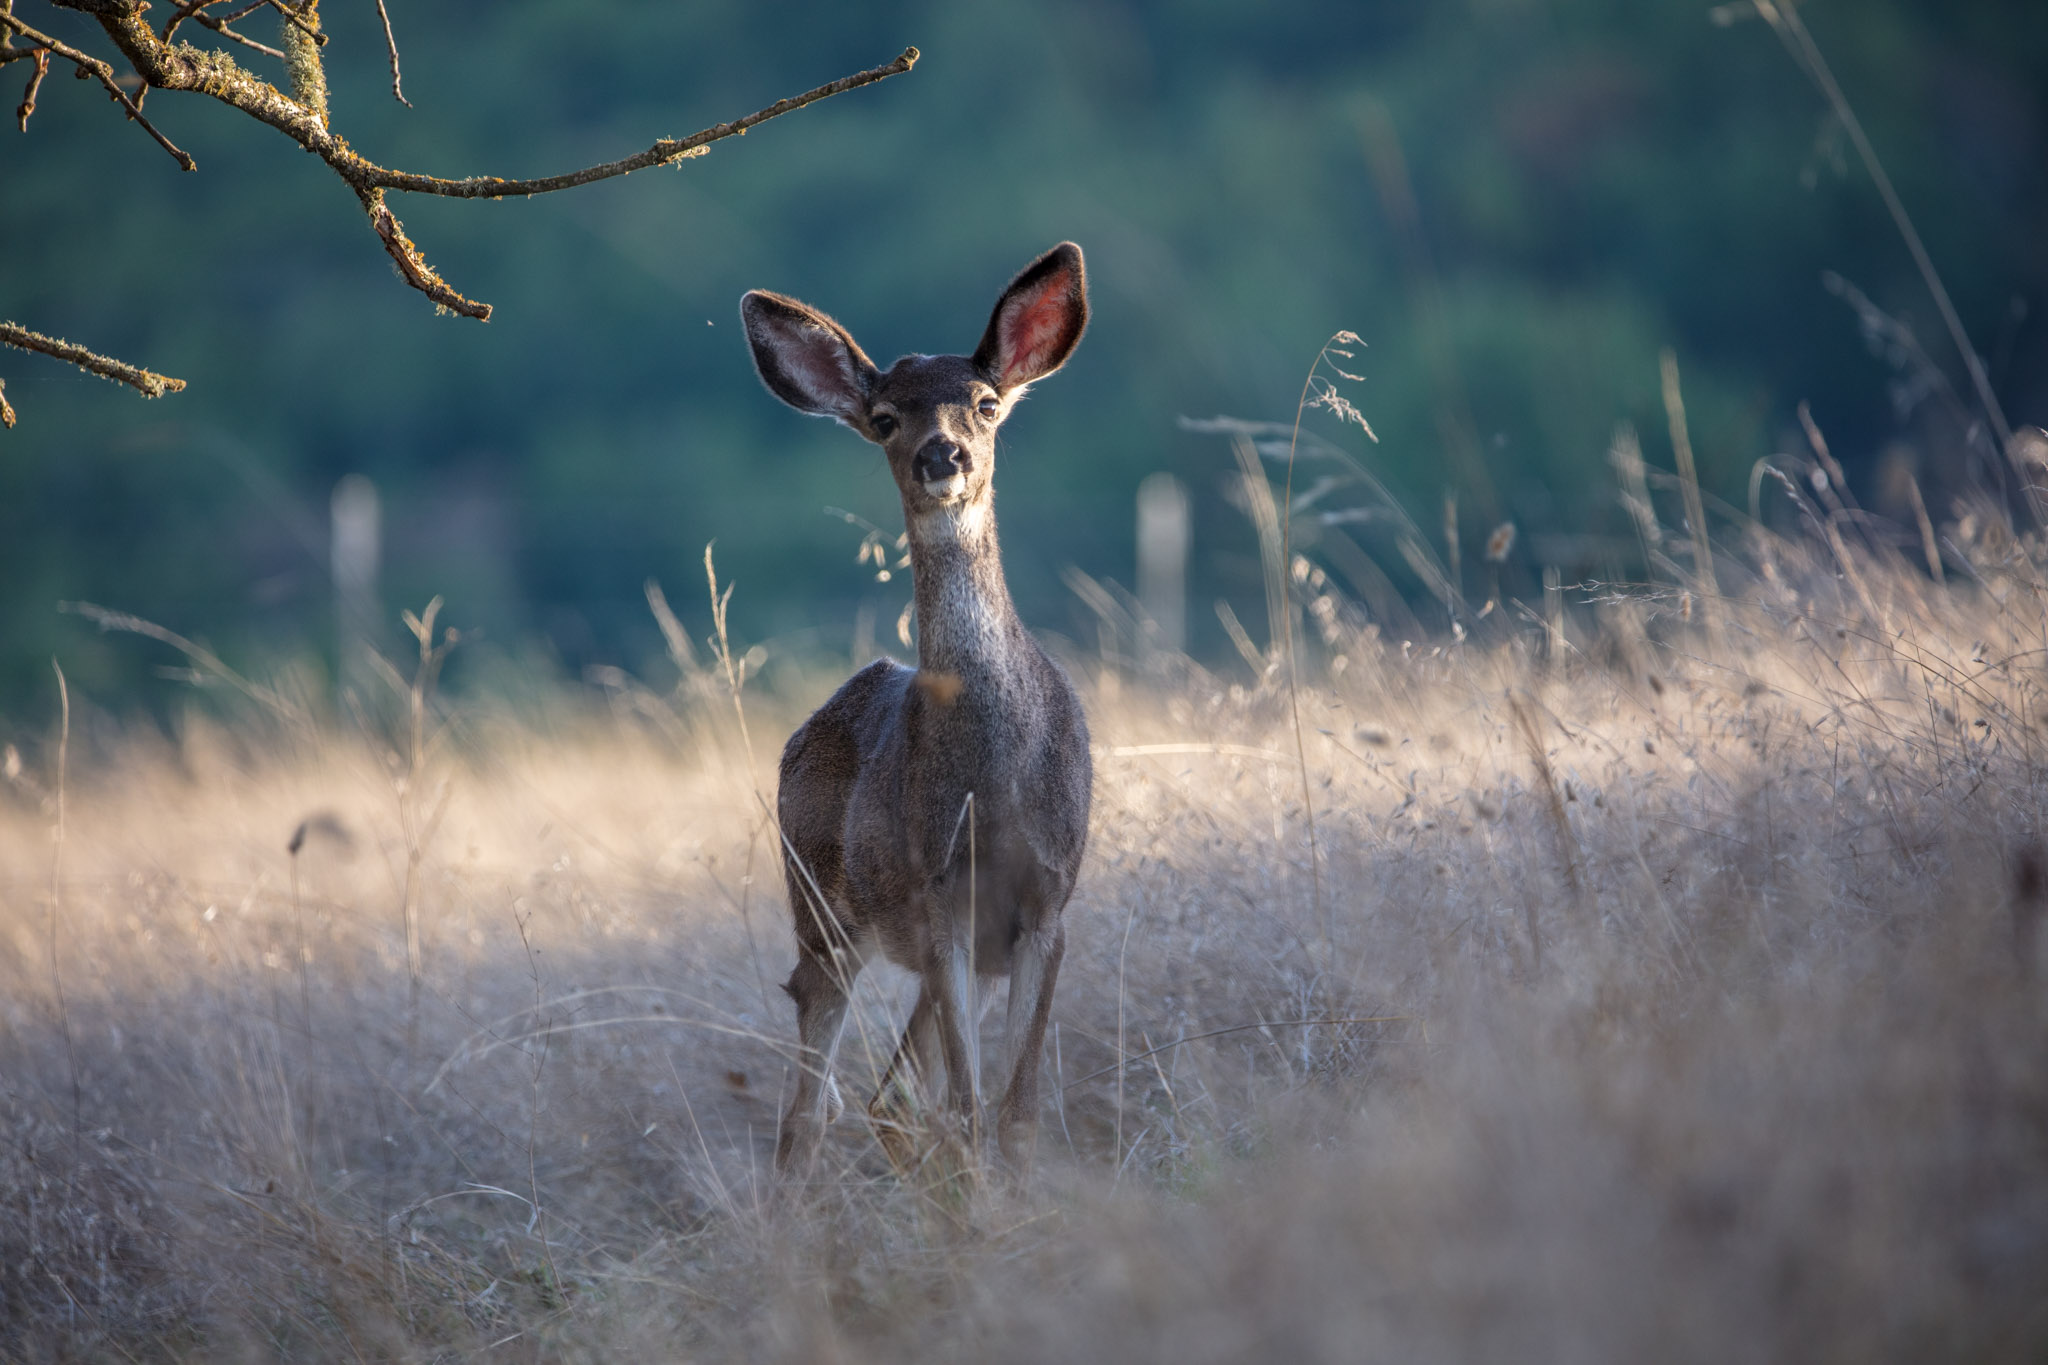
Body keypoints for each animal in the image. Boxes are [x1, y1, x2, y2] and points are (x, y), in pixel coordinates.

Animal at [739, 243, 1093, 1181]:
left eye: (985, 402)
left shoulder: (1049, 899)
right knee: (811, 1108)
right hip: (822, 911)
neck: (997, 781)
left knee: (886, 1095)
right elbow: (968, 1108)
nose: (944, 454)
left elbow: (1016, 1110)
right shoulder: (942, 902)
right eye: (886, 415)